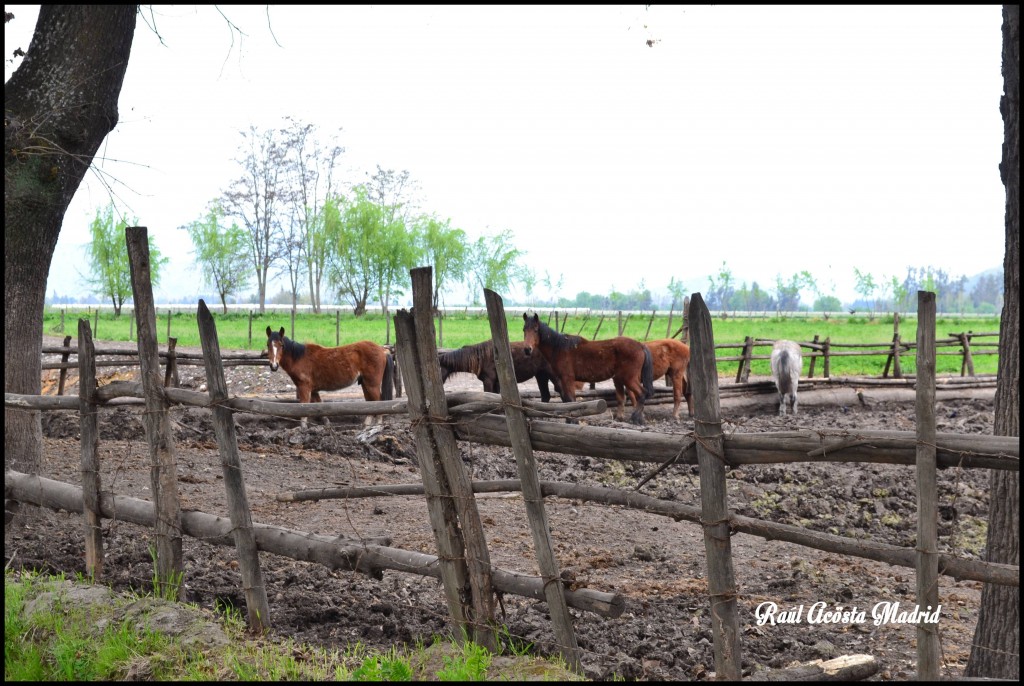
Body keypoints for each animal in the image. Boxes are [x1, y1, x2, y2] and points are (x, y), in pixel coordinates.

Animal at [520, 313, 655, 423]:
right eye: (524, 329)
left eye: (536, 330)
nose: (527, 349)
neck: (560, 348)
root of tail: (640, 345)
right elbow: (567, 400)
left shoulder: (567, 379)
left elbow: (571, 400)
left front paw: (573, 420)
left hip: (628, 378)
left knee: (642, 393)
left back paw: (635, 418)